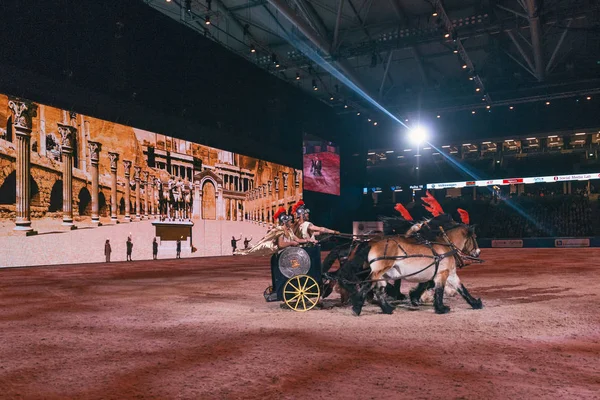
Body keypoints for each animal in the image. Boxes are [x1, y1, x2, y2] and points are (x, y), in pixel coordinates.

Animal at [342, 216, 482, 316]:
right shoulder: (442, 273)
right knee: (368, 285)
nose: (478, 252)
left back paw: (387, 309)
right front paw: (441, 308)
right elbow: (439, 290)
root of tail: (371, 242)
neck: (445, 245)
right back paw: (357, 308)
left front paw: (475, 303)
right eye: (474, 237)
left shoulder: (451, 274)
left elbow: (462, 289)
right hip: (379, 270)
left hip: (384, 274)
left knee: (379, 290)